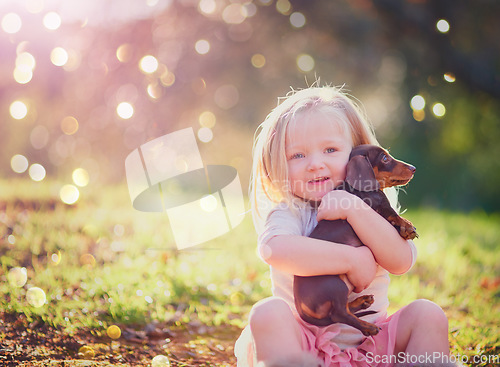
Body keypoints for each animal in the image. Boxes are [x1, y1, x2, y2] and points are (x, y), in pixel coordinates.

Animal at [294, 144, 416, 336]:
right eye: (385, 158)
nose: (413, 168)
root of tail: (300, 307)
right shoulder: (381, 207)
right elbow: (393, 215)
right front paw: (407, 227)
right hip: (335, 284)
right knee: (339, 314)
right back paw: (368, 327)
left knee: (344, 309)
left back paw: (362, 302)